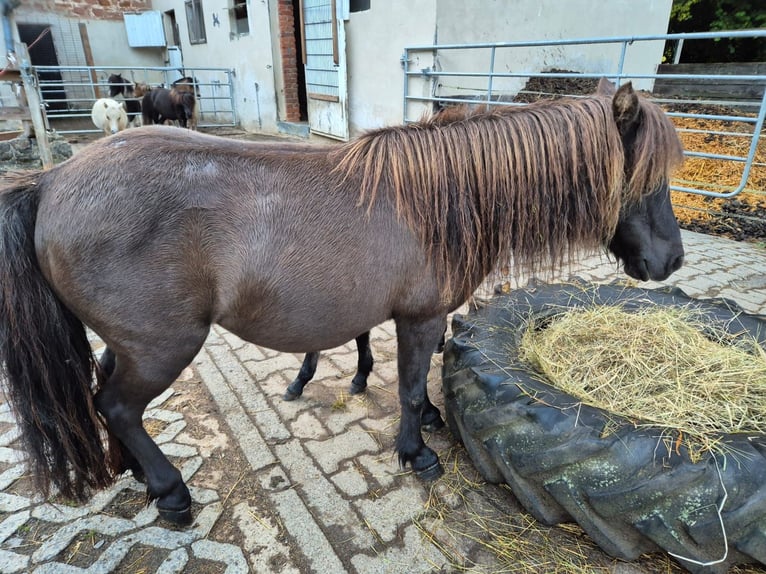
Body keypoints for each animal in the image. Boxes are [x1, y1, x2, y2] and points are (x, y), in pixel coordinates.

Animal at [0, 79, 685, 526]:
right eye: (648, 178)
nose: (672, 261)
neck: (443, 200)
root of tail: (50, 183)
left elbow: (416, 379)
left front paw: (428, 420)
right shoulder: (419, 317)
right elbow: (407, 385)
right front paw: (416, 452)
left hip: (131, 343)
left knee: (107, 394)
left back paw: (139, 475)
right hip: (162, 347)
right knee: (116, 406)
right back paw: (170, 493)